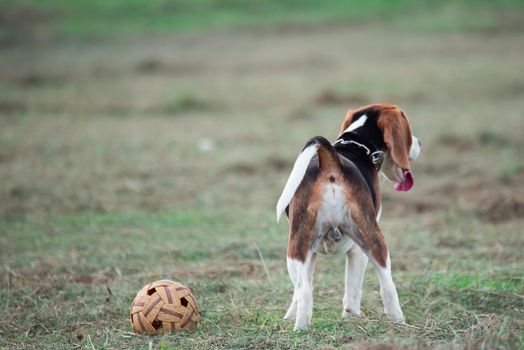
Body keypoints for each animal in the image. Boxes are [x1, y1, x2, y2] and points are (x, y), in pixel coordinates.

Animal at [276, 102, 420, 330]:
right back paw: (396, 320)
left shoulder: (311, 253)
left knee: (304, 290)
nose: (419, 143)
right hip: (370, 238)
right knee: (386, 285)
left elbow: (298, 293)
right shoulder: (357, 251)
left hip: (297, 248)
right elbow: (353, 286)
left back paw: (301, 327)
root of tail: (330, 162)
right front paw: (351, 316)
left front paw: (289, 316)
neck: (357, 145)